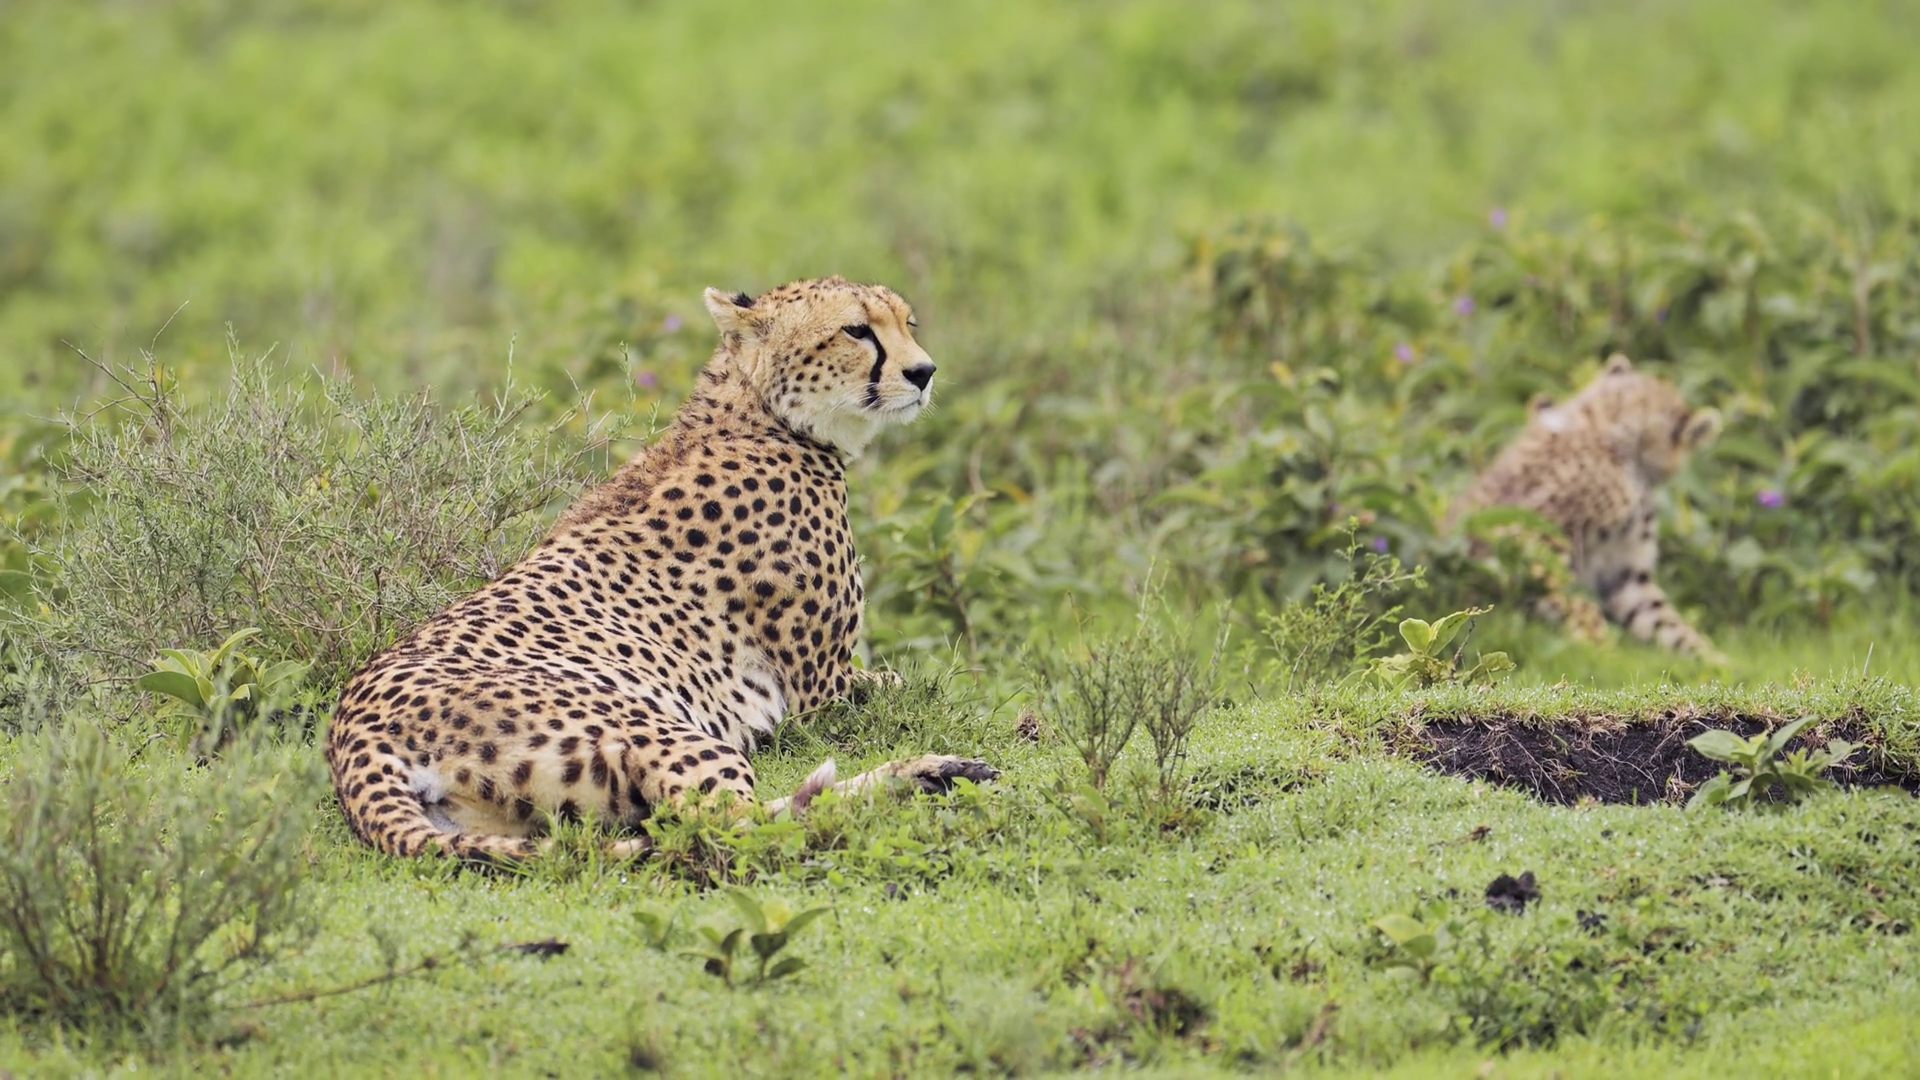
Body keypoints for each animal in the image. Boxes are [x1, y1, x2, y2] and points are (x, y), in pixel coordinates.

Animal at [325, 276, 998, 862]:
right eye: (857, 330)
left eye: (908, 324)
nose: (923, 372)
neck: (757, 414)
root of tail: (352, 728)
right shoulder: (822, 690)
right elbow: (909, 683)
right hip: (657, 726)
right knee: (728, 825)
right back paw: (922, 773)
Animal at [1452, 353, 1723, 659]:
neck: (1605, 428)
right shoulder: (1533, 531)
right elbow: (1570, 595)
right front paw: (1598, 645)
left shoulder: (1625, 573)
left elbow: (1663, 620)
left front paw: (1714, 660)